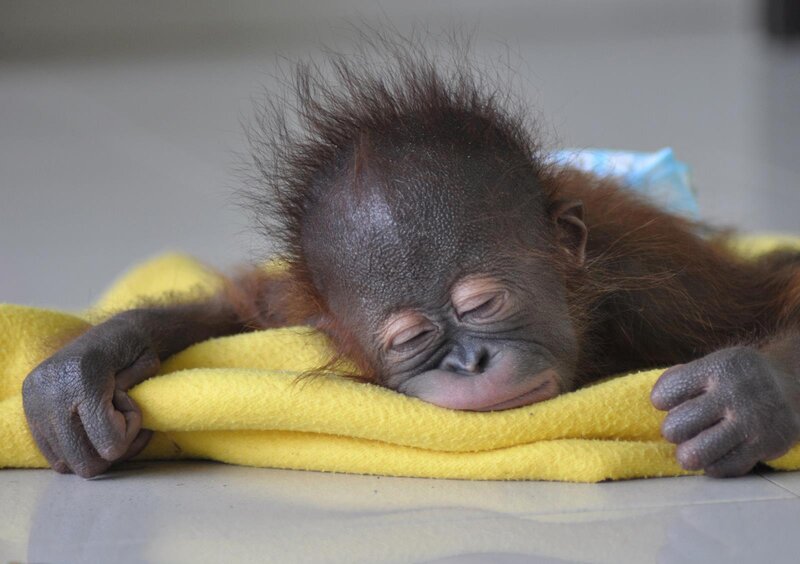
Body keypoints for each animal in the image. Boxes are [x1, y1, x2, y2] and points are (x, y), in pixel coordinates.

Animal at [21, 37, 800, 480]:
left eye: (483, 304)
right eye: (411, 340)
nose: (469, 363)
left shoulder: (661, 287)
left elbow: (776, 292)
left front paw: (747, 394)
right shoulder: (301, 306)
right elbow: (241, 307)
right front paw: (82, 371)